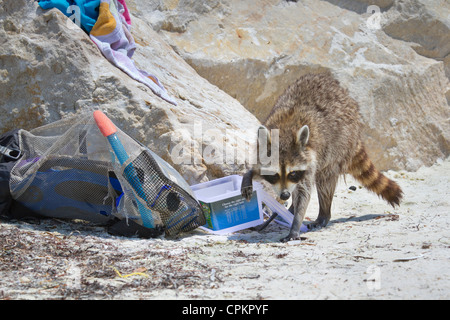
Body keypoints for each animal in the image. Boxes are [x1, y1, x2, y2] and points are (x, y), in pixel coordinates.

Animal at [243, 73, 404, 242]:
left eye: (293, 173)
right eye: (274, 175)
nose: (284, 195)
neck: (284, 132)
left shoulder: (309, 162)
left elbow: (304, 193)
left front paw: (295, 225)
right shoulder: (262, 146)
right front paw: (249, 176)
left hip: (340, 145)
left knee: (325, 182)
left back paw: (322, 215)